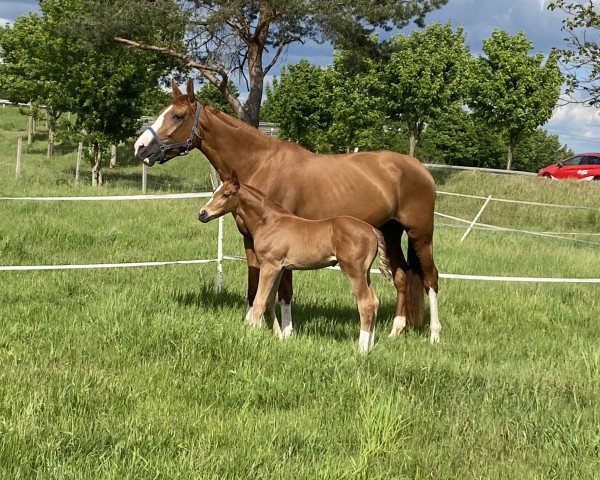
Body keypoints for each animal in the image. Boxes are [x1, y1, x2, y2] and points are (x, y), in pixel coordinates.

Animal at [199, 172, 392, 352]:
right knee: (375, 301)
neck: (269, 222)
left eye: (226, 195)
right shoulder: (279, 268)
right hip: (365, 273)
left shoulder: (269, 266)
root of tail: (372, 230)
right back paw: (371, 345)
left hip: (354, 271)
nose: (202, 213)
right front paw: (279, 338)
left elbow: (260, 301)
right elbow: (269, 302)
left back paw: (361, 349)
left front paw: (252, 336)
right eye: (214, 192)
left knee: (366, 304)